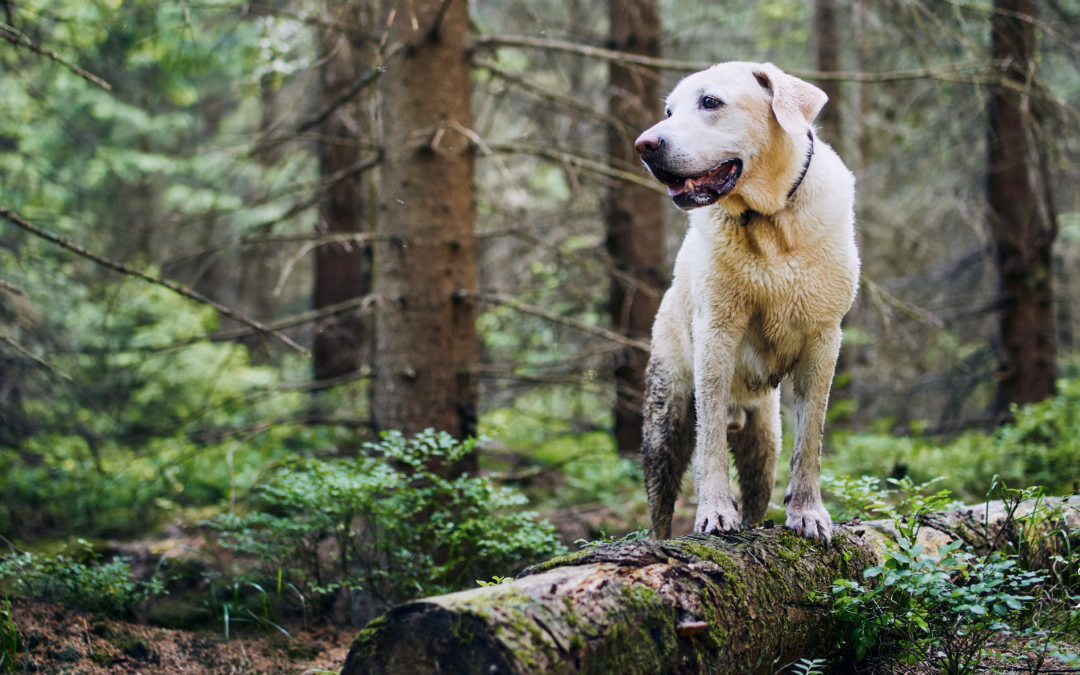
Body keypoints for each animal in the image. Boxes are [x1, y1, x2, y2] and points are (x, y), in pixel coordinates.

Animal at [630, 61, 859, 542]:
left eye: (710, 102)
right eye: (668, 110)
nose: (645, 144)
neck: (770, 222)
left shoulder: (823, 339)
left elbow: (810, 439)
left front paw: (809, 512)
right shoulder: (716, 334)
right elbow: (711, 440)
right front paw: (715, 511)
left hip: (763, 439)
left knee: (760, 486)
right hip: (665, 417)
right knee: (660, 505)